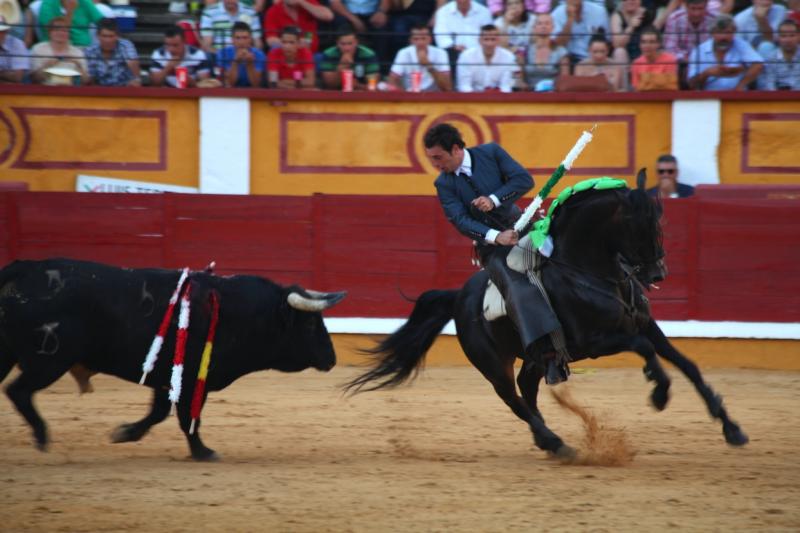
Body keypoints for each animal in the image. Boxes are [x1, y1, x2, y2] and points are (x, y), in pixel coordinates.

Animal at [0, 256, 346, 458]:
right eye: (311, 324)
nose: (332, 358)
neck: (244, 311)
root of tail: (24, 268)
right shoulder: (192, 378)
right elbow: (187, 416)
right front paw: (203, 451)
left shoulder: (167, 376)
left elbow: (159, 412)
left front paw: (125, 433)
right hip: (49, 360)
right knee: (19, 391)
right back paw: (42, 437)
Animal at [346, 170, 752, 458]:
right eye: (637, 223)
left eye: (661, 220)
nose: (657, 274)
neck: (593, 271)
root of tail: (459, 296)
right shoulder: (595, 342)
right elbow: (646, 350)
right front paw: (660, 394)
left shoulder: (646, 325)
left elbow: (686, 363)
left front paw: (732, 428)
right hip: (491, 362)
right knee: (511, 397)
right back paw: (555, 442)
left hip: (536, 355)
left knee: (526, 389)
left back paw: (548, 440)